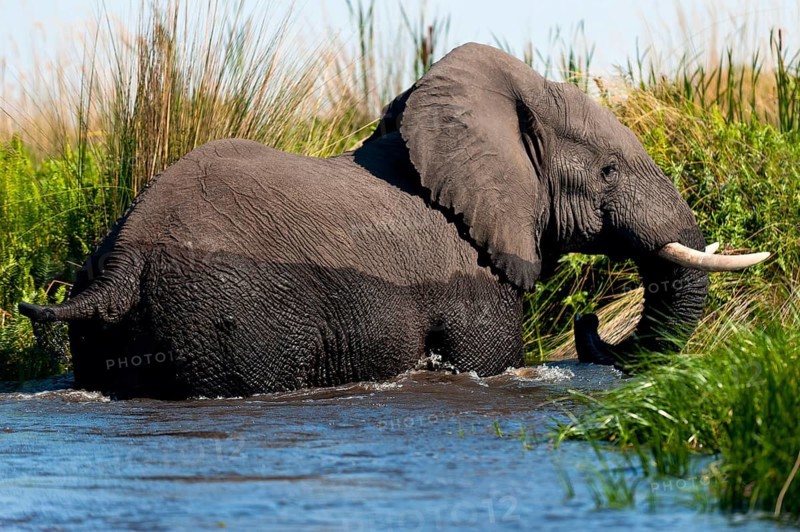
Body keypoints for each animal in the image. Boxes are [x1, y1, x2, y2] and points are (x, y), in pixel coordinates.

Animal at [19, 43, 768, 399]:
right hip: (224, 320)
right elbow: (488, 358)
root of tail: (122, 262)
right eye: (609, 173)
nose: (589, 325)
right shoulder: (472, 281)